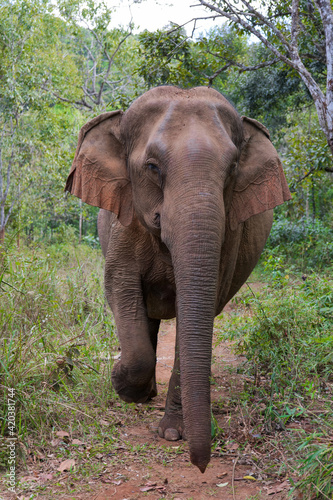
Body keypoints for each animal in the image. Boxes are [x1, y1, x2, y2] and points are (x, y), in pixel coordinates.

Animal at [64, 86, 288, 472]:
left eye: (232, 169)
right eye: (152, 167)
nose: (201, 465)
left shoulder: (229, 238)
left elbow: (200, 309)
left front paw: (171, 433)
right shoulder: (124, 224)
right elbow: (119, 288)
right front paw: (123, 385)